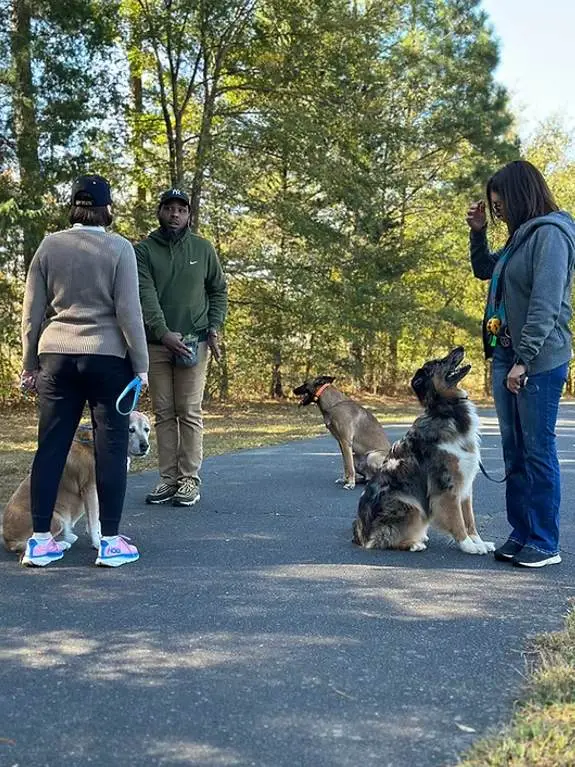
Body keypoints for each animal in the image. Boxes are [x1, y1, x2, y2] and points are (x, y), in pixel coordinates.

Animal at [2, 412, 151, 556]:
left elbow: (96, 519)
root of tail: (8, 540)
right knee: (31, 544)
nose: (145, 446)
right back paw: (62, 545)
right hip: (56, 519)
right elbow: (93, 520)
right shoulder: (90, 489)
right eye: (131, 429)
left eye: (147, 429)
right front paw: (98, 543)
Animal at [354, 350, 492, 560]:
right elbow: (458, 520)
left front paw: (479, 542)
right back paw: (414, 543)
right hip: (408, 503)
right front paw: (468, 545)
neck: (446, 410)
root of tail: (360, 534)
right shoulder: (446, 487)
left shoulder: (466, 486)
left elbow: (470, 519)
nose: (460, 348)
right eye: (438, 362)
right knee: (381, 540)